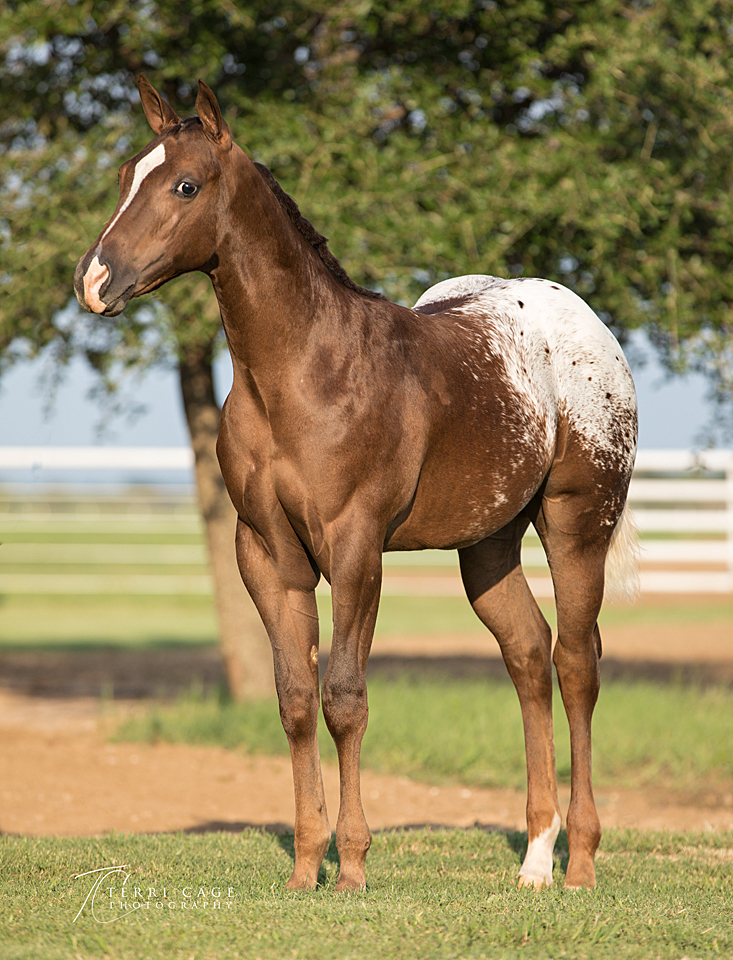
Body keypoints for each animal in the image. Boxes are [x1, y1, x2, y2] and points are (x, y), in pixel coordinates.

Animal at [71, 77, 636, 892]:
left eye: (185, 185)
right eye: (124, 176)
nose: (94, 281)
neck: (305, 371)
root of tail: (585, 322)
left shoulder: (356, 546)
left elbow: (344, 696)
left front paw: (354, 866)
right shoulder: (267, 554)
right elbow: (295, 699)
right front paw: (307, 865)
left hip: (576, 524)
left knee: (575, 664)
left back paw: (581, 862)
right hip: (488, 543)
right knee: (528, 657)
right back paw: (533, 861)